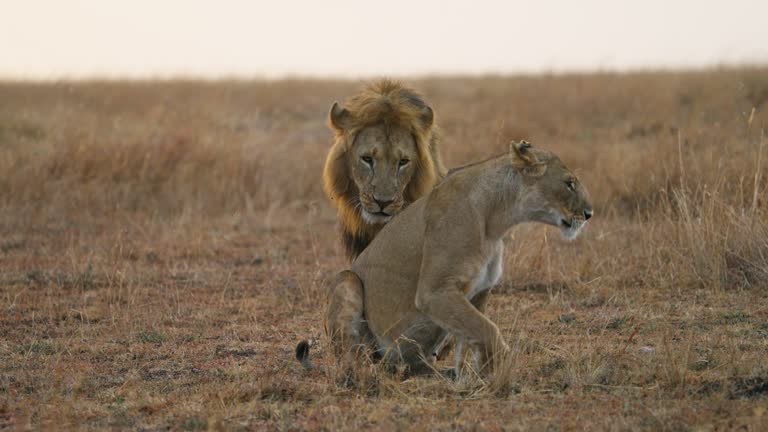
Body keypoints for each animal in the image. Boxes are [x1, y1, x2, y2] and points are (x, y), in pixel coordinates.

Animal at [298, 141, 593, 377]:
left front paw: (474, 377)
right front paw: (500, 374)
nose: (589, 213)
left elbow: (473, 336)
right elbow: (488, 331)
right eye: (569, 183)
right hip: (347, 281)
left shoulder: (478, 293)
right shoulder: (435, 292)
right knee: (352, 358)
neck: (497, 220)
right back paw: (364, 374)